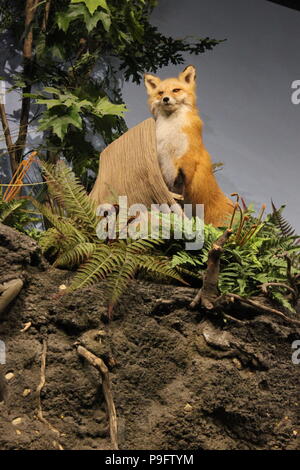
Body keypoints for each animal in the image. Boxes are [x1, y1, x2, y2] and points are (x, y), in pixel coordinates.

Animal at [144, 65, 233, 227]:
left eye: (176, 90)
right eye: (160, 93)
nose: (165, 99)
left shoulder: (185, 163)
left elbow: (178, 191)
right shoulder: (163, 163)